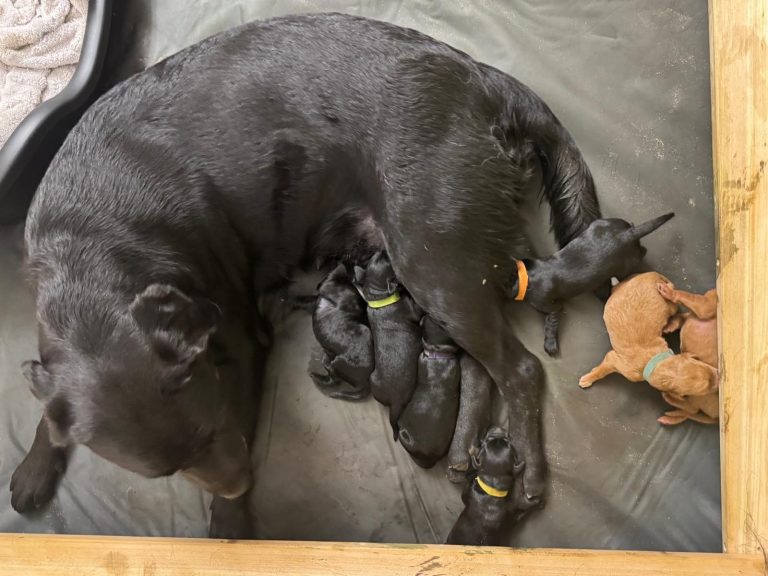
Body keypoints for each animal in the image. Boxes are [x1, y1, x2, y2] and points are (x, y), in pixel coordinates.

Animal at [354, 251, 422, 436]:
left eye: (378, 256)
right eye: (388, 262)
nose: (384, 250)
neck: (380, 298)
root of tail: (395, 401)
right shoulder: (411, 310)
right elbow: (417, 308)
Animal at [505, 213, 674, 356]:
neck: (527, 274)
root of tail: (628, 233)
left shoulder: (550, 305)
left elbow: (550, 323)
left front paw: (550, 346)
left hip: (626, 265)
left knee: (642, 252)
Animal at [579, 272, 719, 399]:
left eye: (706, 366)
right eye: (706, 387)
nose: (720, 374)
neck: (656, 360)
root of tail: (655, 275)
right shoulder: (613, 359)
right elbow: (601, 371)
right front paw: (588, 378)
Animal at [656, 283, 718, 425]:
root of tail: (716, 419)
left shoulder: (705, 306)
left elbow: (687, 296)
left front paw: (670, 292)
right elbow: (682, 316)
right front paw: (671, 324)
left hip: (700, 395)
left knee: (691, 410)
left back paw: (669, 401)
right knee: (689, 413)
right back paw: (670, 417)